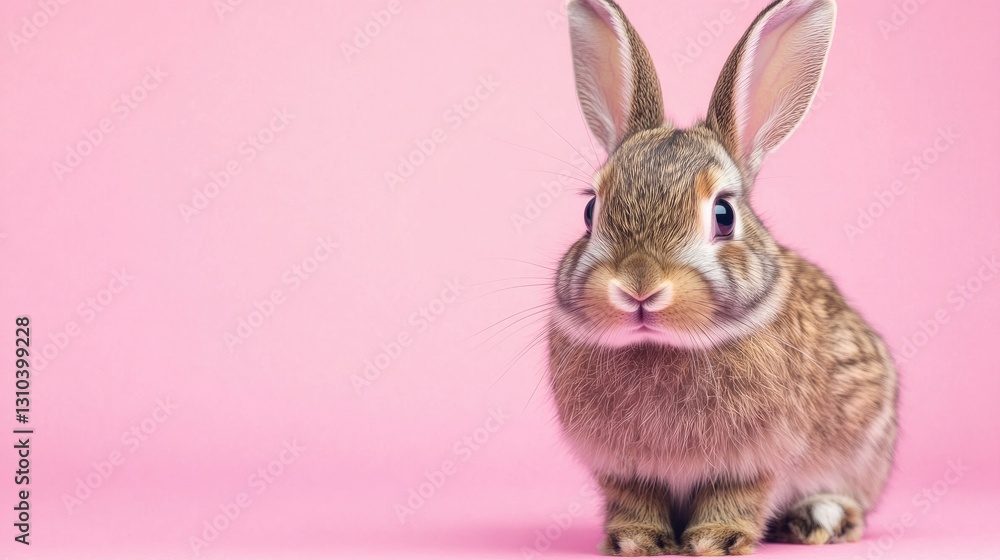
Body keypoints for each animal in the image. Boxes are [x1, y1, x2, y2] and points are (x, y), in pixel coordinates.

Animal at [547, 0, 897, 555]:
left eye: (724, 215)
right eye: (589, 210)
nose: (639, 286)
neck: (661, 346)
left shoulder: (753, 461)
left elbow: (733, 498)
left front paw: (715, 540)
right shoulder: (624, 470)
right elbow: (635, 502)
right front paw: (635, 541)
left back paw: (819, 518)